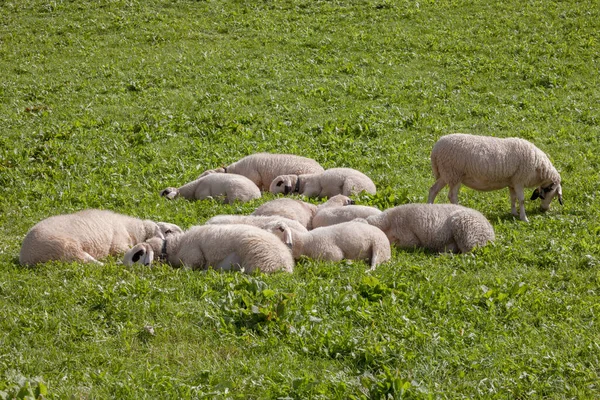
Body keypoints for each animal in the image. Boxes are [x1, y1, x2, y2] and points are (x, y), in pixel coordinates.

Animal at [426, 134, 564, 222]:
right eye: (552, 193)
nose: (544, 209)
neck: (539, 168)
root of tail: (435, 150)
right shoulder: (519, 180)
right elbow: (521, 200)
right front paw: (524, 218)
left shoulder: (512, 182)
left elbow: (513, 198)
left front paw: (514, 213)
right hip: (454, 174)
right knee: (452, 196)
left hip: (447, 174)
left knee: (433, 190)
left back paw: (429, 208)